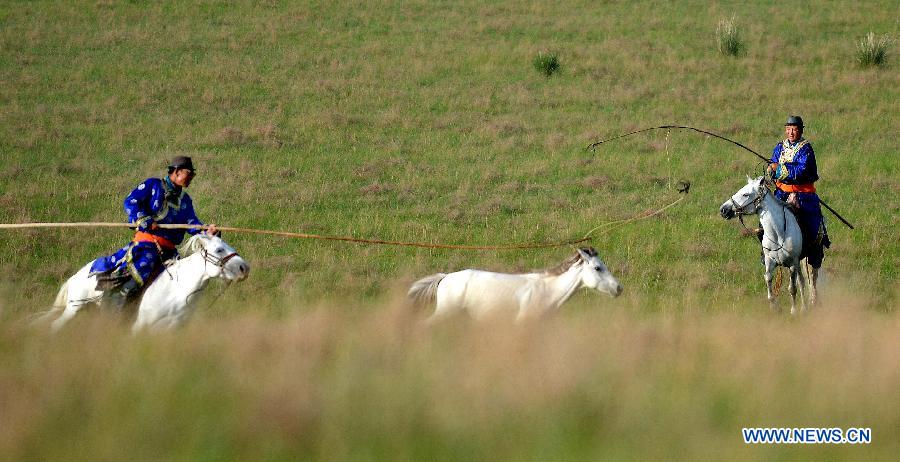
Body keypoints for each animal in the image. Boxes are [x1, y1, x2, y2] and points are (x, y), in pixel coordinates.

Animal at [43, 235, 250, 332]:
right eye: (219, 249)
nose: (244, 268)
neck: (175, 291)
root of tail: (77, 276)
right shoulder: (139, 328)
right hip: (74, 308)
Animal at [716, 176, 816, 314]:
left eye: (746, 194)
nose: (723, 210)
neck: (778, 233)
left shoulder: (792, 263)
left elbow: (792, 288)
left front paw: (793, 311)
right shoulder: (770, 260)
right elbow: (768, 278)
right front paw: (774, 306)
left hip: (804, 259)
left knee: (807, 279)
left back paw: (807, 306)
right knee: (801, 280)